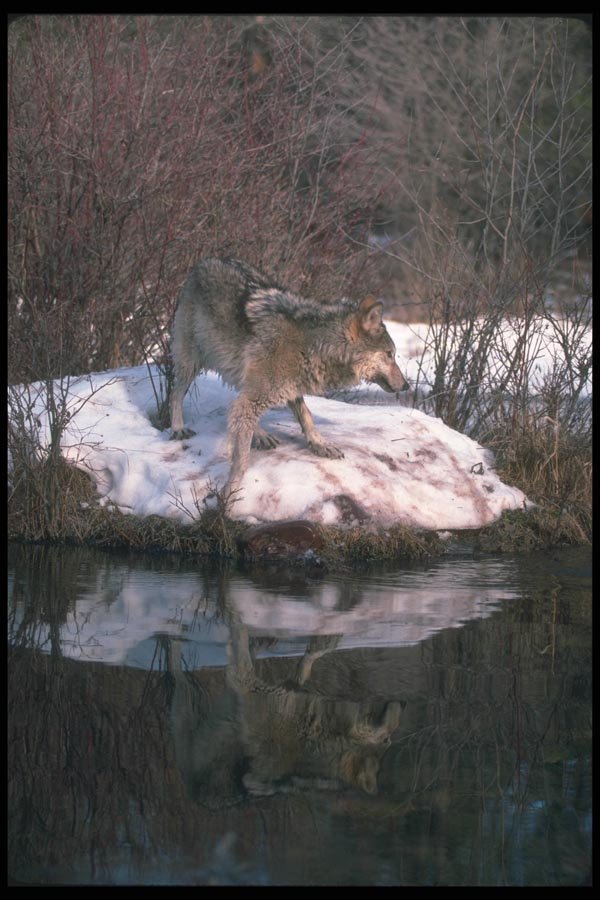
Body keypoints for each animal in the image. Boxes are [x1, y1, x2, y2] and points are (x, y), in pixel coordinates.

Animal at [169, 257, 409, 492]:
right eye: (389, 354)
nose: (406, 386)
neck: (314, 345)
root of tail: (204, 261)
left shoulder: (290, 388)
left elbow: (306, 416)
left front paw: (319, 444)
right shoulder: (262, 393)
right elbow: (241, 458)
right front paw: (230, 492)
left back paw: (261, 434)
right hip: (190, 363)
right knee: (176, 393)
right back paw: (178, 428)